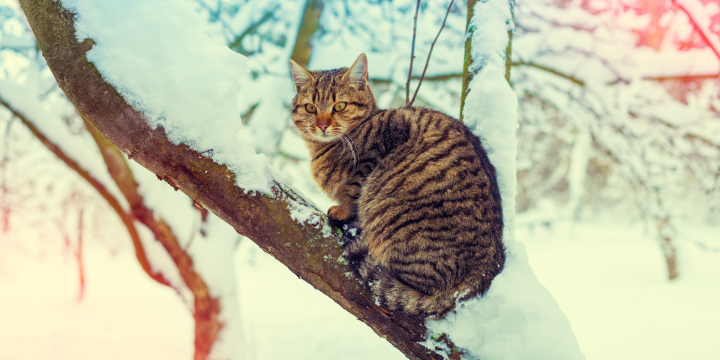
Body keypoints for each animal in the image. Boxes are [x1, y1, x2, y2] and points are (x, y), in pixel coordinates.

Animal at [290, 53, 504, 318]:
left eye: (339, 106)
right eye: (311, 107)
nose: (321, 125)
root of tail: (484, 274)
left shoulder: (383, 144)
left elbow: (354, 190)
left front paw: (343, 210)